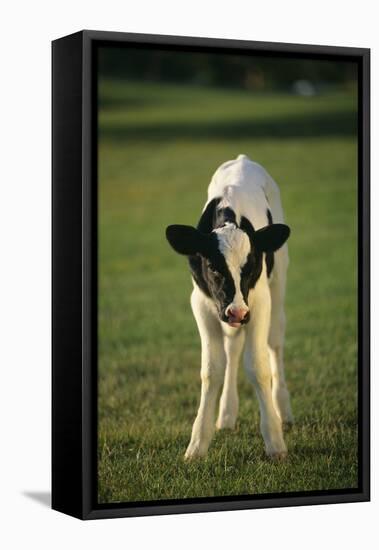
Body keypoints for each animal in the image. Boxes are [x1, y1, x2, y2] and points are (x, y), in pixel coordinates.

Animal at [166, 155, 294, 462]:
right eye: (213, 266)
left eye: (251, 265)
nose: (237, 312)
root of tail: (242, 159)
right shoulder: (202, 303)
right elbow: (212, 369)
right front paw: (197, 444)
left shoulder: (258, 302)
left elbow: (258, 367)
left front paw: (274, 441)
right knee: (233, 347)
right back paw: (226, 415)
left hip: (278, 282)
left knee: (274, 343)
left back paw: (282, 410)